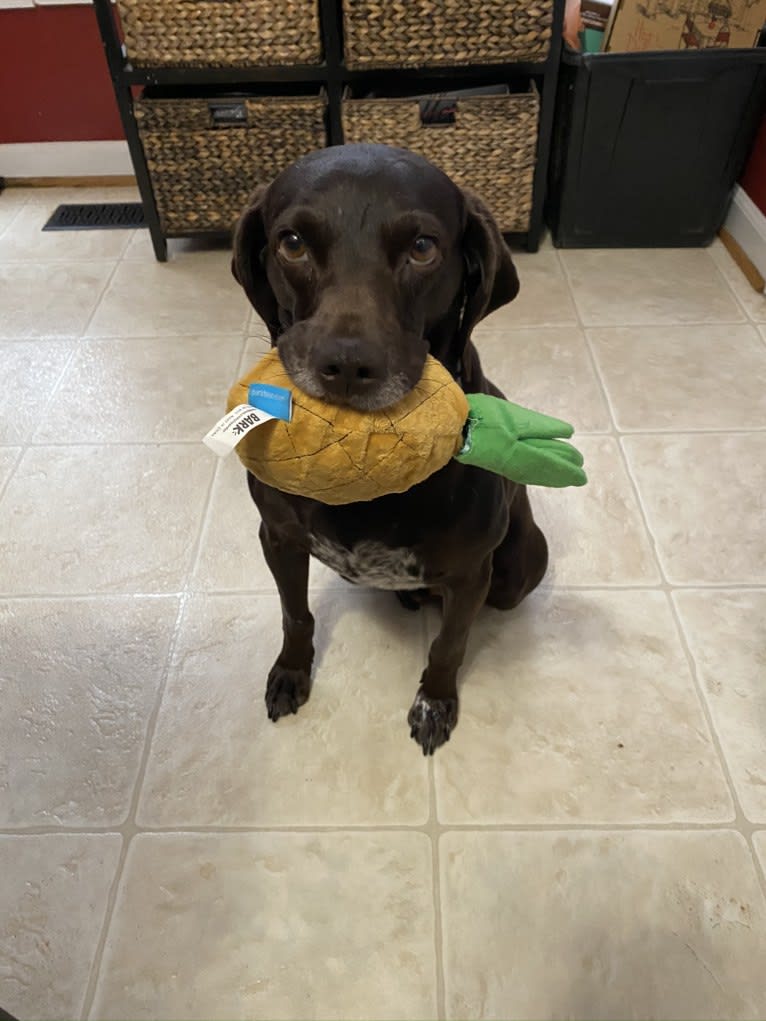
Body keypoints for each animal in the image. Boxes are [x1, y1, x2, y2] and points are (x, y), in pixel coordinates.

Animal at [230, 141, 547, 751]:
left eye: (422, 248)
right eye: (292, 243)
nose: (347, 366)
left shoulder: (471, 573)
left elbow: (449, 644)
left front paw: (435, 702)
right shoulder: (277, 538)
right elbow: (295, 614)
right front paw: (291, 672)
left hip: (522, 565)